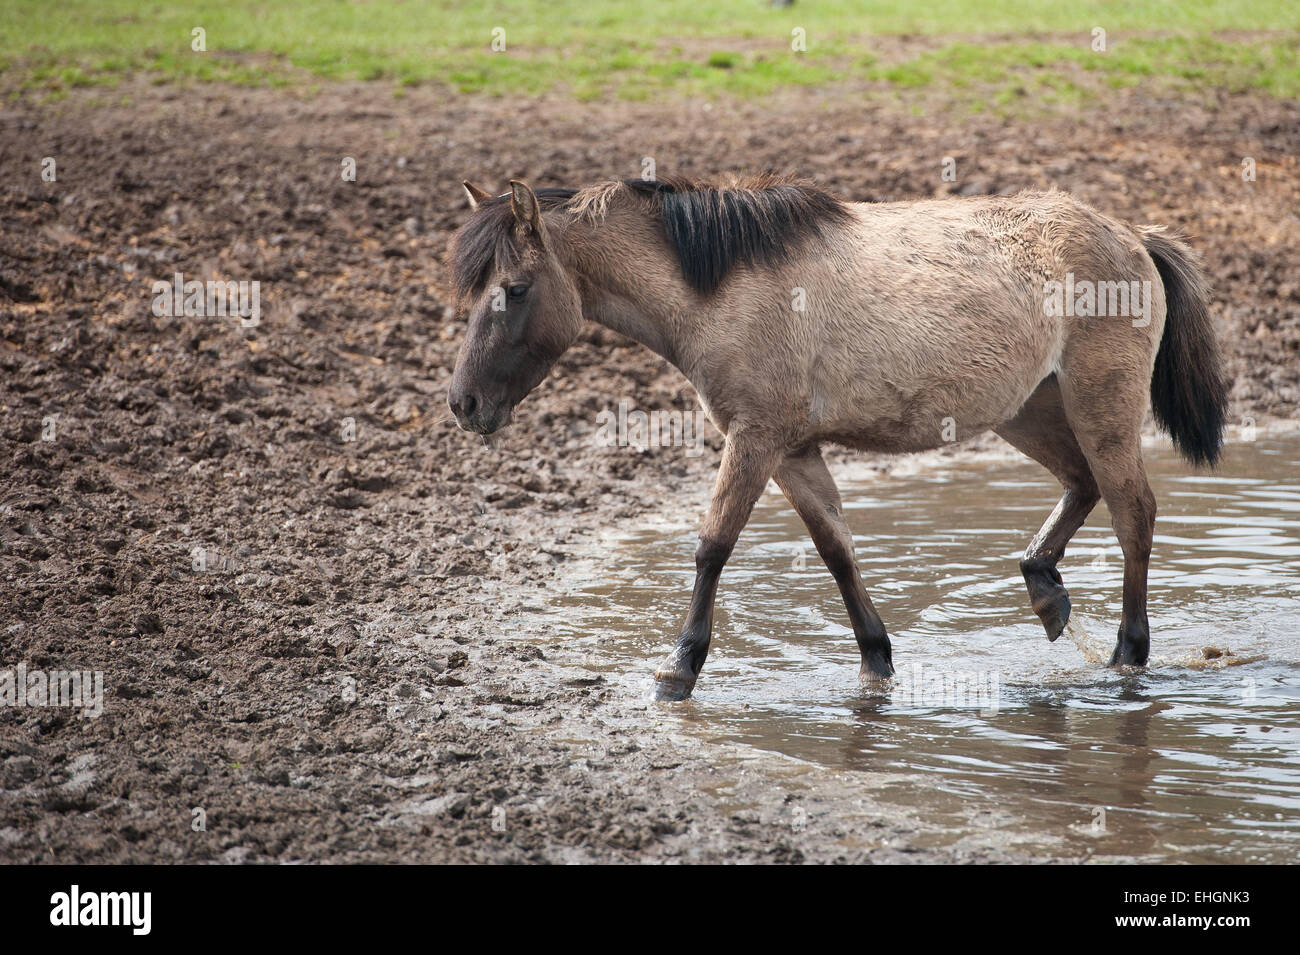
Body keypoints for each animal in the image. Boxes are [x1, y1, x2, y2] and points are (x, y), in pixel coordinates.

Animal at [447, 175, 1227, 701]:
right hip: (1029, 411)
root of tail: (1133, 237)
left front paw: (679, 669)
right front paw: (875, 659)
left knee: (1133, 512)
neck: (722, 285)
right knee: (1083, 485)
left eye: (515, 289)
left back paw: (1128, 653)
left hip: (1100, 408)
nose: (464, 403)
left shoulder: (756, 440)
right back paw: (1046, 592)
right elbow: (837, 551)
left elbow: (713, 546)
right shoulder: (791, 452)